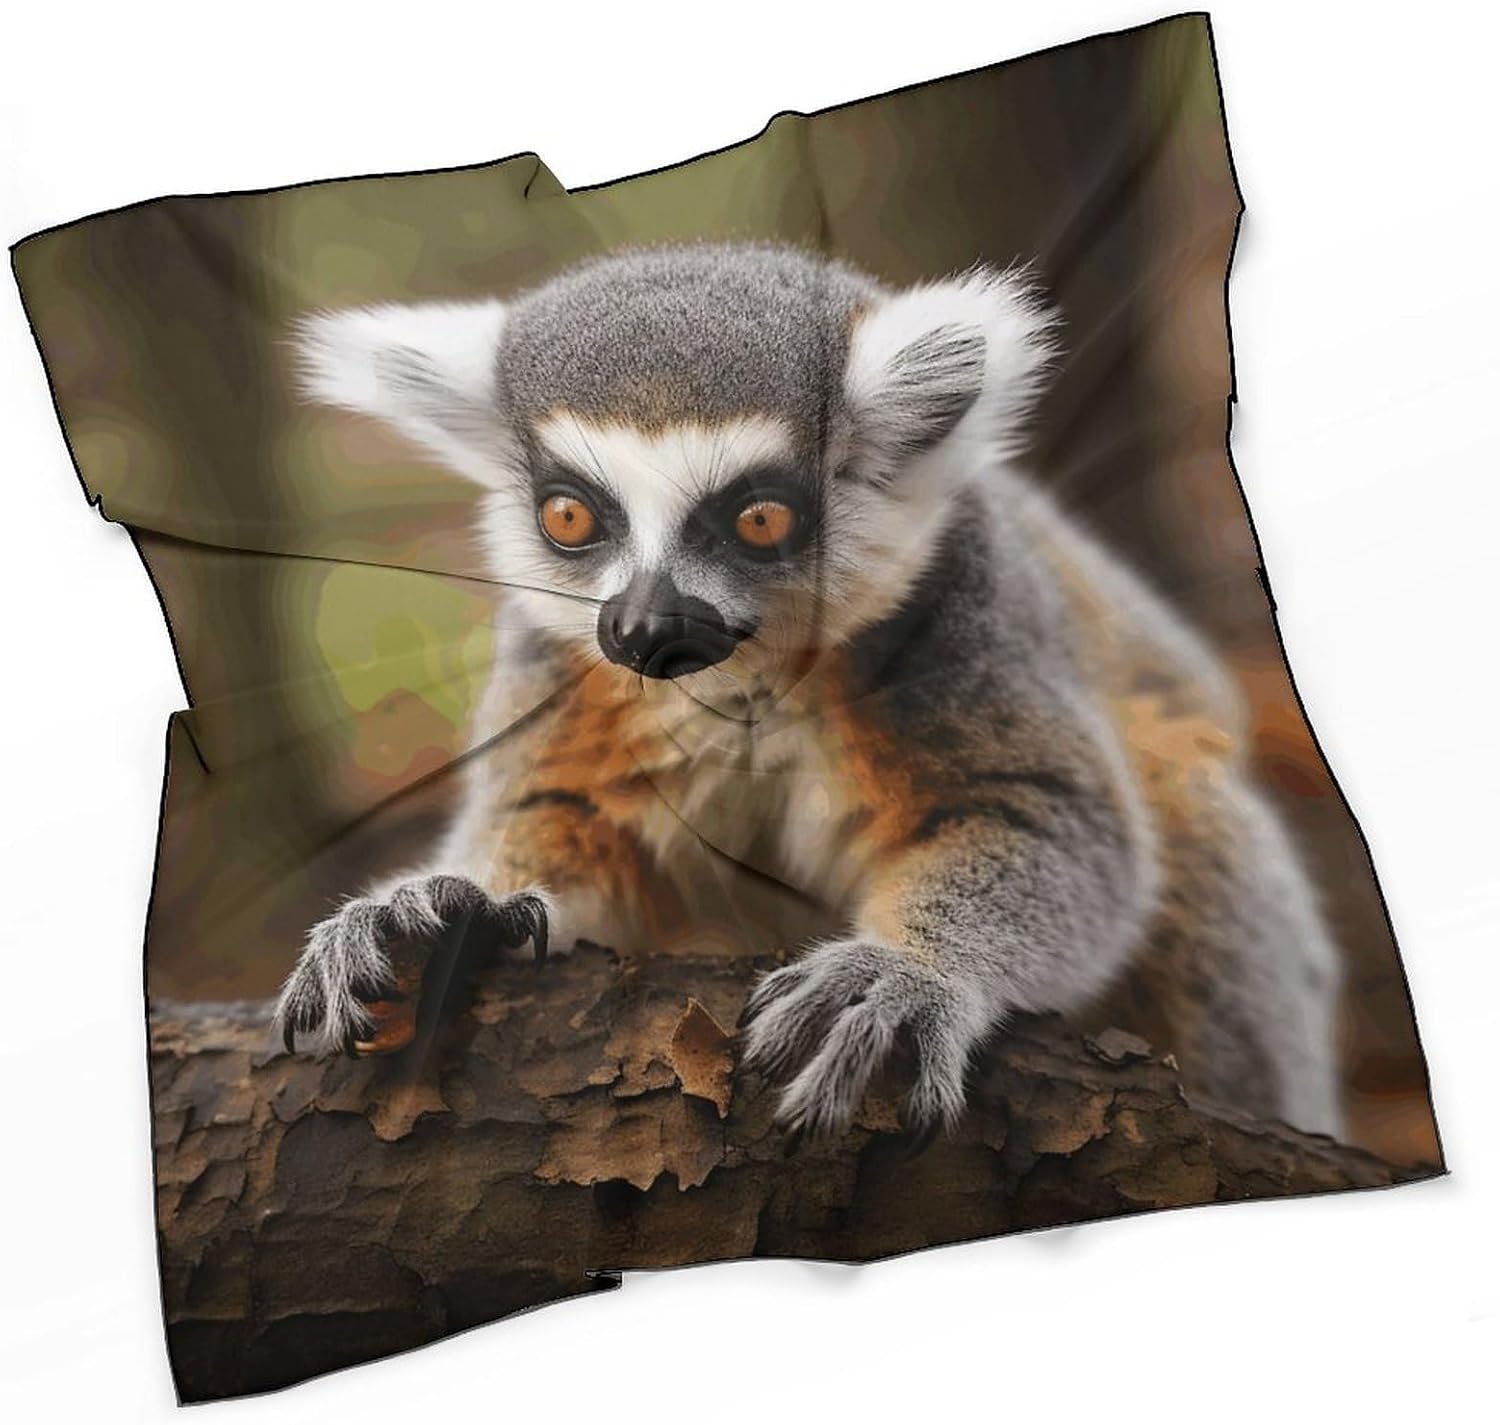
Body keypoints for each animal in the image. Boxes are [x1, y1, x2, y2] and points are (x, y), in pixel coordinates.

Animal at [271, 241, 1345, 1143]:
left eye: (760, 519)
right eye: (570, 515)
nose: (642, 632)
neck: (742, 684)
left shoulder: (959, 604)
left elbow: (1057, 821)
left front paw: (907, 970)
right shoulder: (560, 662)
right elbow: (562, 814)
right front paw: (454, 907)